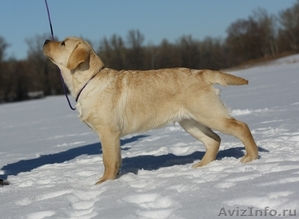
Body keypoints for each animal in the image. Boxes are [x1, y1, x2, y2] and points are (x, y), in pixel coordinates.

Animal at [42, 36, 260, 184]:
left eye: (62, 43)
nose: (45, 40)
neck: (88, 81)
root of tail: (200, 73)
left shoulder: (108, 132)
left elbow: (108, 161)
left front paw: (103, 184)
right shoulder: (112, 135)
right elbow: (116, 160)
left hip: (210, 114)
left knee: (241, 127)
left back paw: (251, 157)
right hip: (191, 122)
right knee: (214, 140)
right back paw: (200, 165)